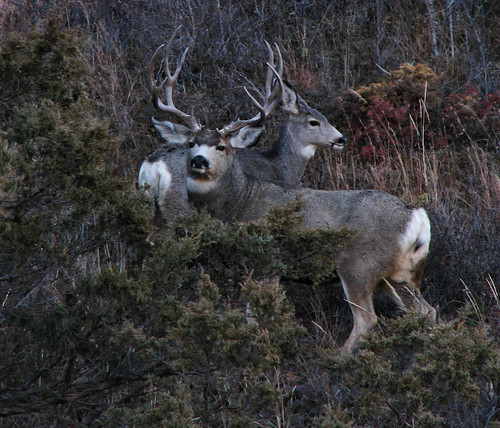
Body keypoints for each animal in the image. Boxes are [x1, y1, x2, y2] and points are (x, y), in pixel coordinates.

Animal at [139, 27, 346, 221]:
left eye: (324, 117)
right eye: (314, 122)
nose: (341, 139)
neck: (279, 167)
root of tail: (154, 166)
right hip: (178, 206)